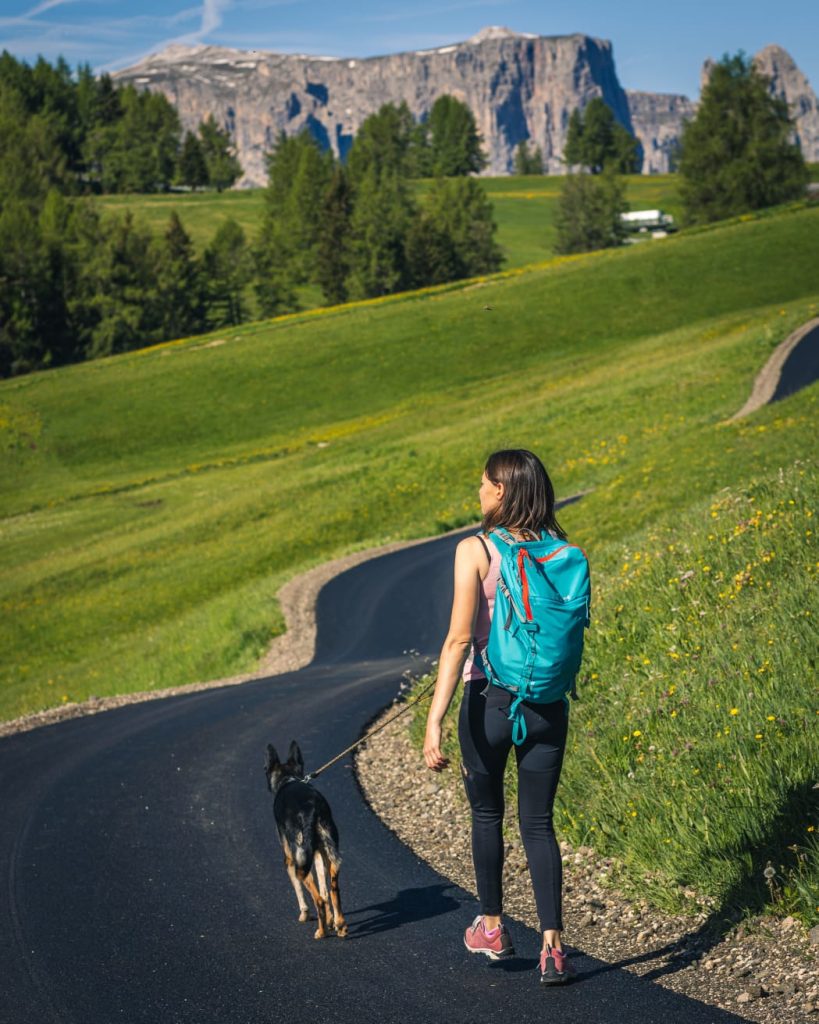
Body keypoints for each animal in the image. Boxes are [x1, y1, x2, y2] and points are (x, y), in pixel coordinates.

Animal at [264, 741, 348, 937]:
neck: (288, 779)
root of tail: (311, 810)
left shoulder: (290, 859)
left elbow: (300, 890)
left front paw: (304, 914)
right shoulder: (317, 854)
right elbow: (324, 887)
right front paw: (332, 920)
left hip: (300, 860)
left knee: (318, 899)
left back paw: (321, 931)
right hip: (329, 853)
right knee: (332, 890)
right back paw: (340, 925)